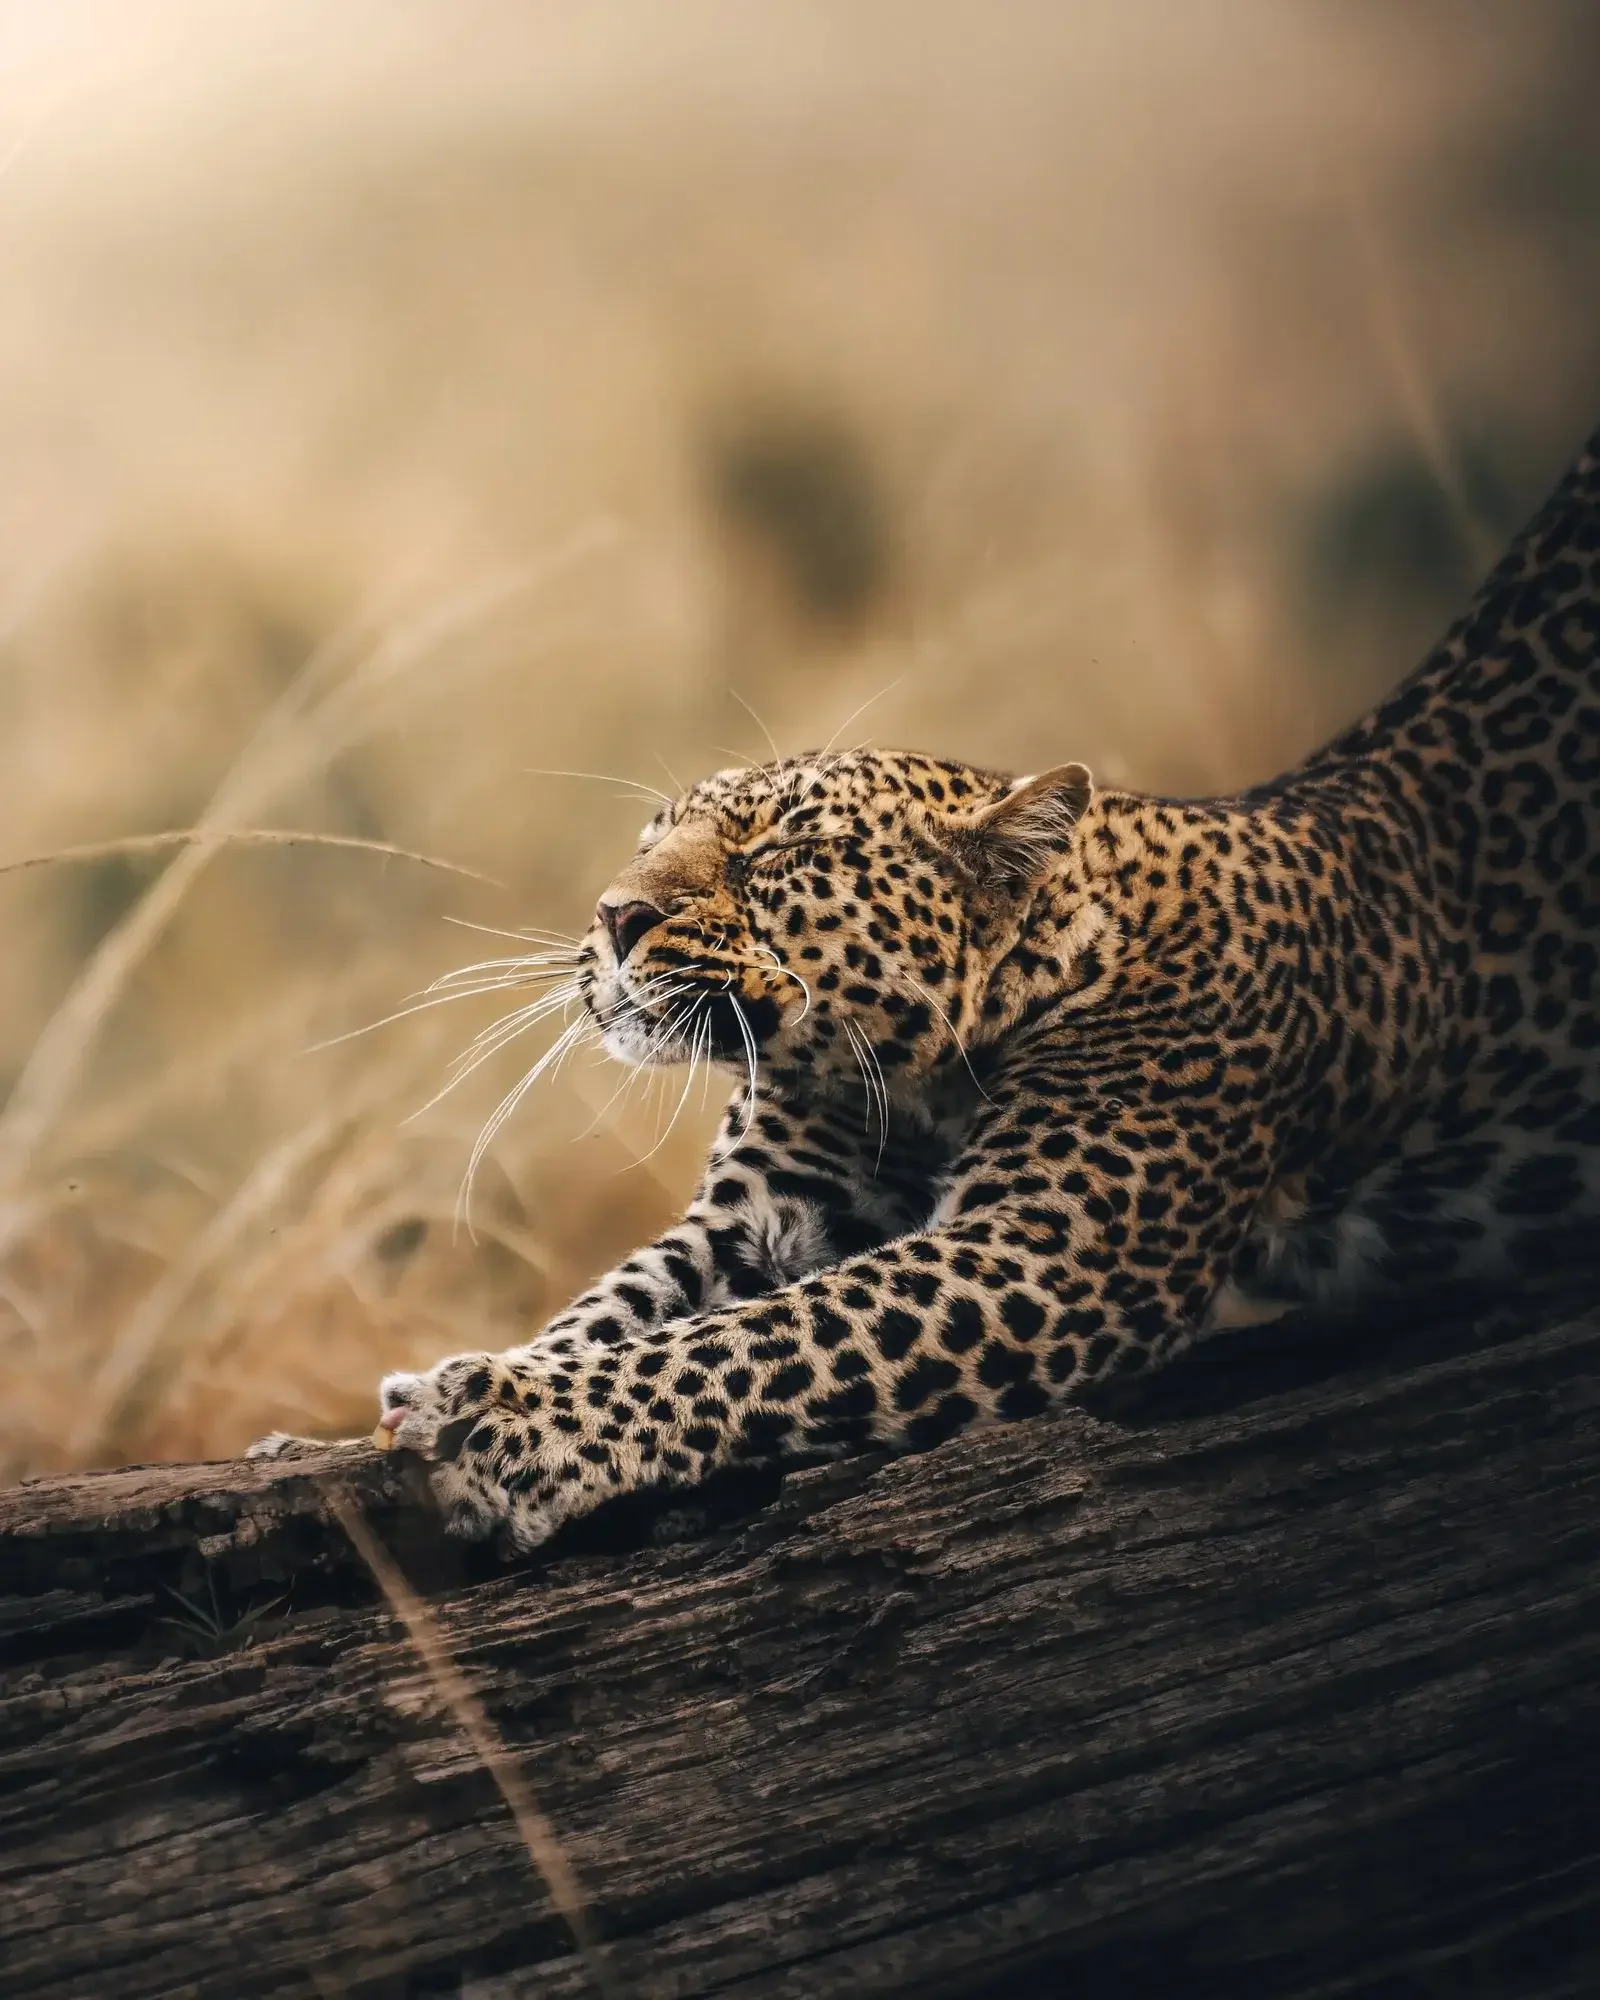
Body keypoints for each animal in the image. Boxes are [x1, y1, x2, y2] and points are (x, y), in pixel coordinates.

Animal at [256, 422, 1600, 1554]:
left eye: (772, 852)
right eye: (650, 839)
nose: (615, 916)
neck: (906, 1077)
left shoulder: (1047, 1253)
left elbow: (751, 1343)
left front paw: (518, 1425)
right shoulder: (760, 1217)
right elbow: (626, 1306)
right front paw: (410, 1402)